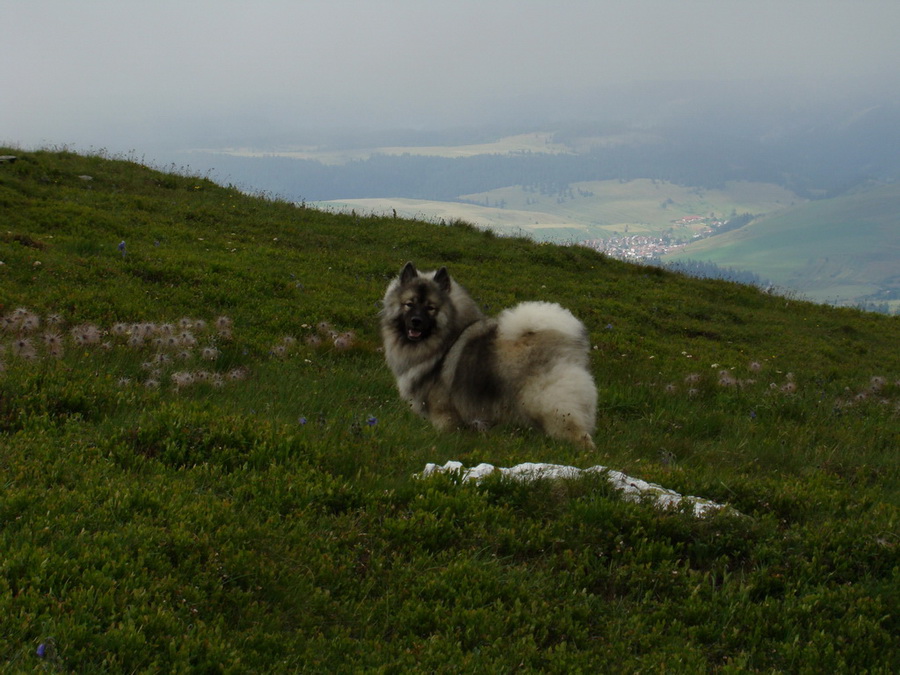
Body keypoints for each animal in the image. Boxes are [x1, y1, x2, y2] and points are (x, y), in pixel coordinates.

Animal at [382, 262, 596, 448]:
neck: (444, 342)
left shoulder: (443, 412)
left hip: (549, 405)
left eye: (430, 308)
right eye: (409, 304)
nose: (416, 321)